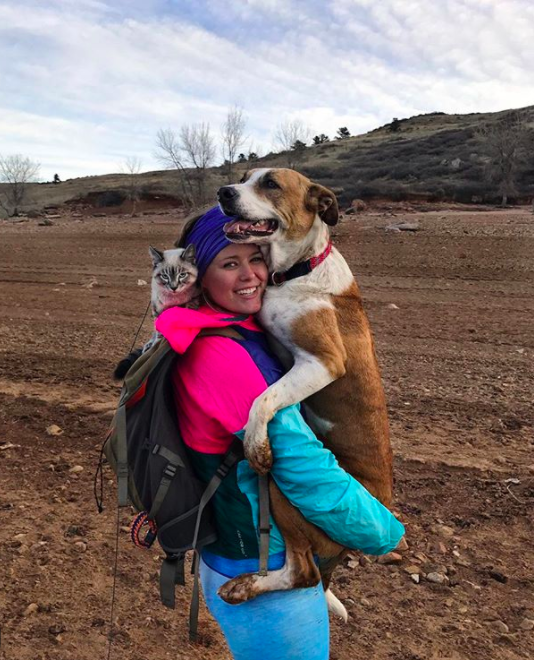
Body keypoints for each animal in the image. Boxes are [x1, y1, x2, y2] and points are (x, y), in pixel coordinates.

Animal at [113, 244, 199, 378]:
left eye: (182, 275)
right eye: (165, 276)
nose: (173, 287)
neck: (173, 299)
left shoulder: (194, 299)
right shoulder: (157, 308)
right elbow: (159, 332)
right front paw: (156, 347)